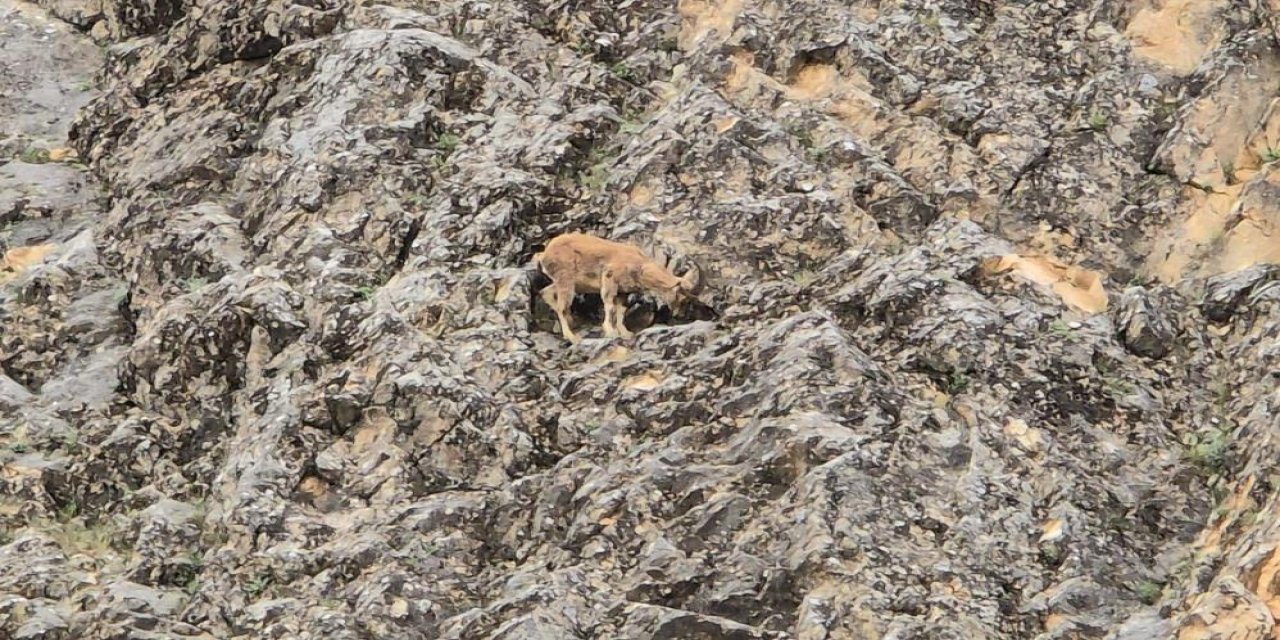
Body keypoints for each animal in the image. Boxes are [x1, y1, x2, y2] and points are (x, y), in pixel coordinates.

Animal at [535, 231, 706, 343]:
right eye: (682, 297)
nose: (679, 316)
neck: (639, 265)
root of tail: (545, 254)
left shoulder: (623, 292)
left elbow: (621, 311)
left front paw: (625, 333)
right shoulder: (610, 279)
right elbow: (610, 306)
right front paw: (610, 332)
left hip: (567, 283)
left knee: (546, 293)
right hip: (566, 280)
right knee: (562, 307)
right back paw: (572, 336)